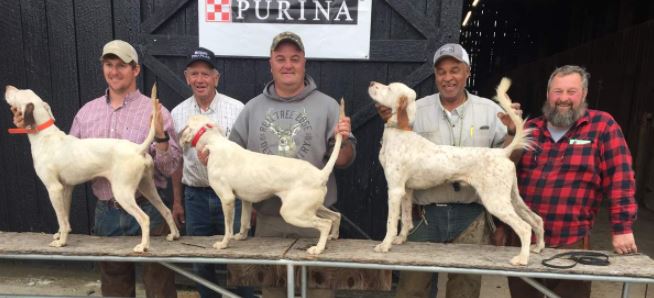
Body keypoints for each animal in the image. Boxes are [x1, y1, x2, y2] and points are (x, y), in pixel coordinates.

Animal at [4, 85, 182, 251]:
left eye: (19, 92)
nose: (7, 87)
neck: (45, 136)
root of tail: (138, 149)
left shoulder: (54, 188)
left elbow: (61, 218)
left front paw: (61, 242)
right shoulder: (66, 188)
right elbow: (65, 219)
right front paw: (61, 234)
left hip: (123, 192)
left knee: (144, 218)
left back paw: (143, 246)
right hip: (147, 187)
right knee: (166, 210)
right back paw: (174, 235)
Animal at [177, 102, 346, 254]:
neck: (215, 142)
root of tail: (320, 174)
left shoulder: (227, 199)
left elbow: (228, 228)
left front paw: (224, 243)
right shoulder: (246, 200)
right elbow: (244, 222)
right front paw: (241, 236)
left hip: (292, 212)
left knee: (325, 224)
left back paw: (318, 249)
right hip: (311, 207)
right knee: (336, 216)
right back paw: (333, 236)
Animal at [368, 79, 548, 266]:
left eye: (389, 88)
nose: (372, 83)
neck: (399, 132)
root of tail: (502, 152)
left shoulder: (395, 190)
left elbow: (391, 222)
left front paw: (385, 245)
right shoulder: (407, 191)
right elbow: (406, 219)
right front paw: (401, 239)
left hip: (496, 201)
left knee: (525, 227)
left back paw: (522, 259)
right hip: (512, 198)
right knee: (536, 220)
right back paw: (538, 247)